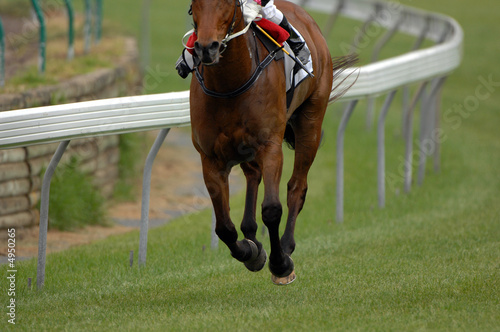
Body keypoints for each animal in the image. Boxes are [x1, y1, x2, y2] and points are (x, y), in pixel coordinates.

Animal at [189, 0, 354, 286]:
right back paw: (251, 234)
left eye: (226, 3)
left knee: (297, 187)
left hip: (311, 122)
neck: (229, 85)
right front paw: (250, 251)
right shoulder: (210, 158)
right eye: (194, 4)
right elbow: (224, 227)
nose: (207, 48)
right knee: (253, 176)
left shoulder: (271, 147)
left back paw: (286, 245)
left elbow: (272, 209)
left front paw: (280, 264)